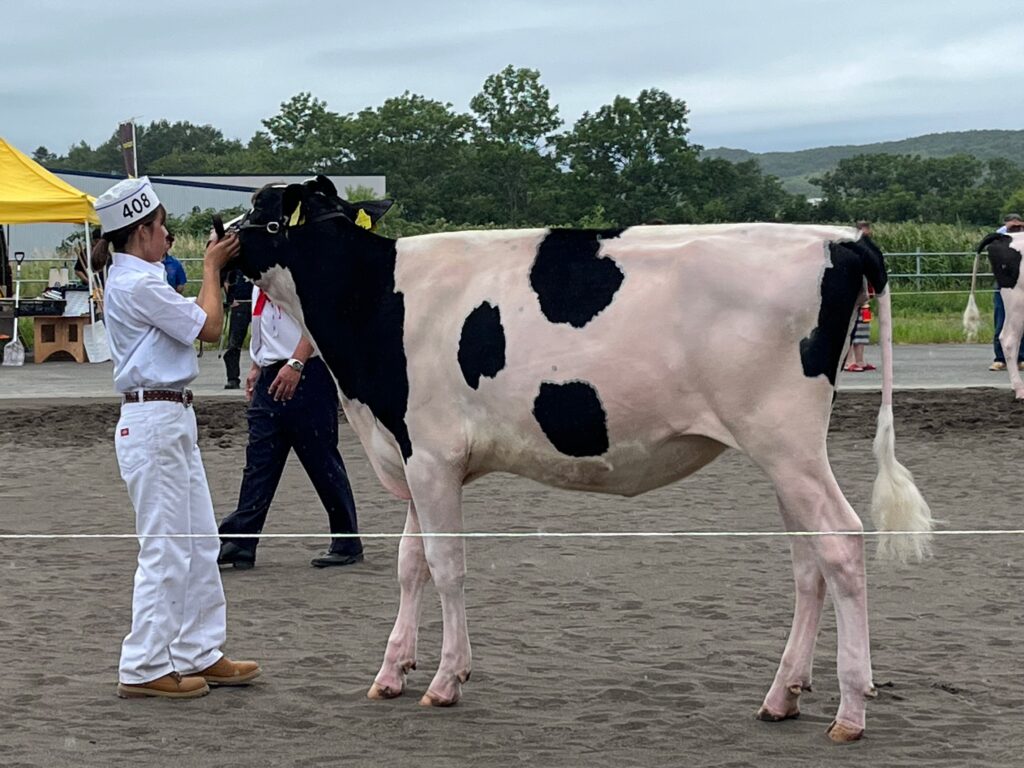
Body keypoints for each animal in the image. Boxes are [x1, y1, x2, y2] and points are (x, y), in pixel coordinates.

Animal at [230, 176, 929, 745]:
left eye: (261, 207)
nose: (218, 230)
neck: (375, 298)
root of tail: (839, 239)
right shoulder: (415, 455)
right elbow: (411, 566)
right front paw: (392, 671)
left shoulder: (431, 455)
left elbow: (446, 567)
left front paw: (446, 679)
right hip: (785, 453)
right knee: (809, 562)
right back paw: (784, 695)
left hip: (786, 440)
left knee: (841, 542)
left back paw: (851, 711)